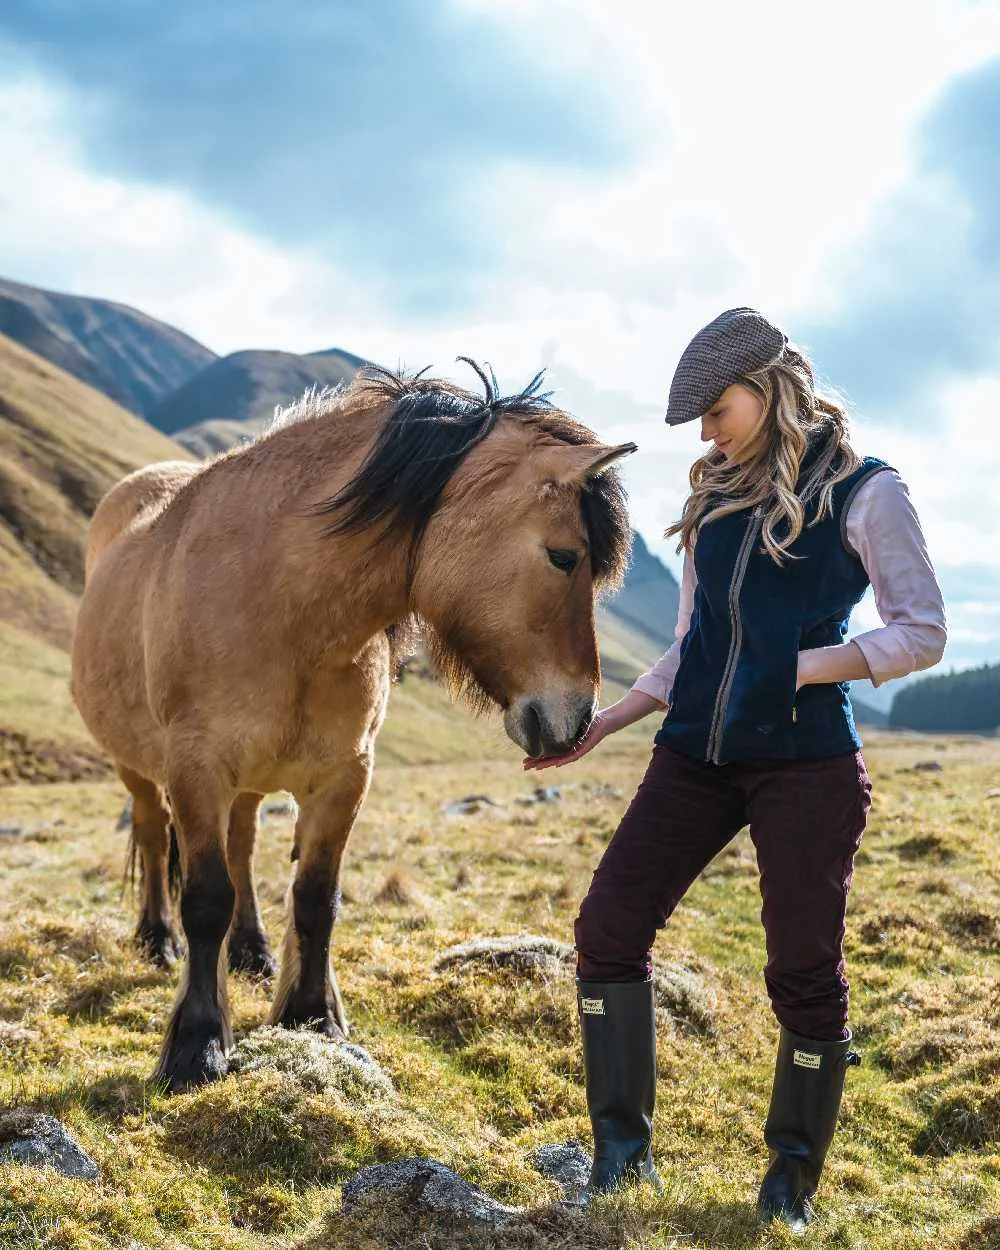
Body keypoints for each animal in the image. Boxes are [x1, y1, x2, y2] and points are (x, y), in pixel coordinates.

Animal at [72, 362, 632, 1085]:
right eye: (563, 556)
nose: (577, 718)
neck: (285, 604)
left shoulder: (345, 776)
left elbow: (316, 897)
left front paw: (312, 1015)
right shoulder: (195, 771)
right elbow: (205, 900)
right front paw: (196, 1043)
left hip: (247, 784)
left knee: (243, 847)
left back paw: (252, 950)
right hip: (138, 769)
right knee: (150, 832)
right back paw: (156, 940)